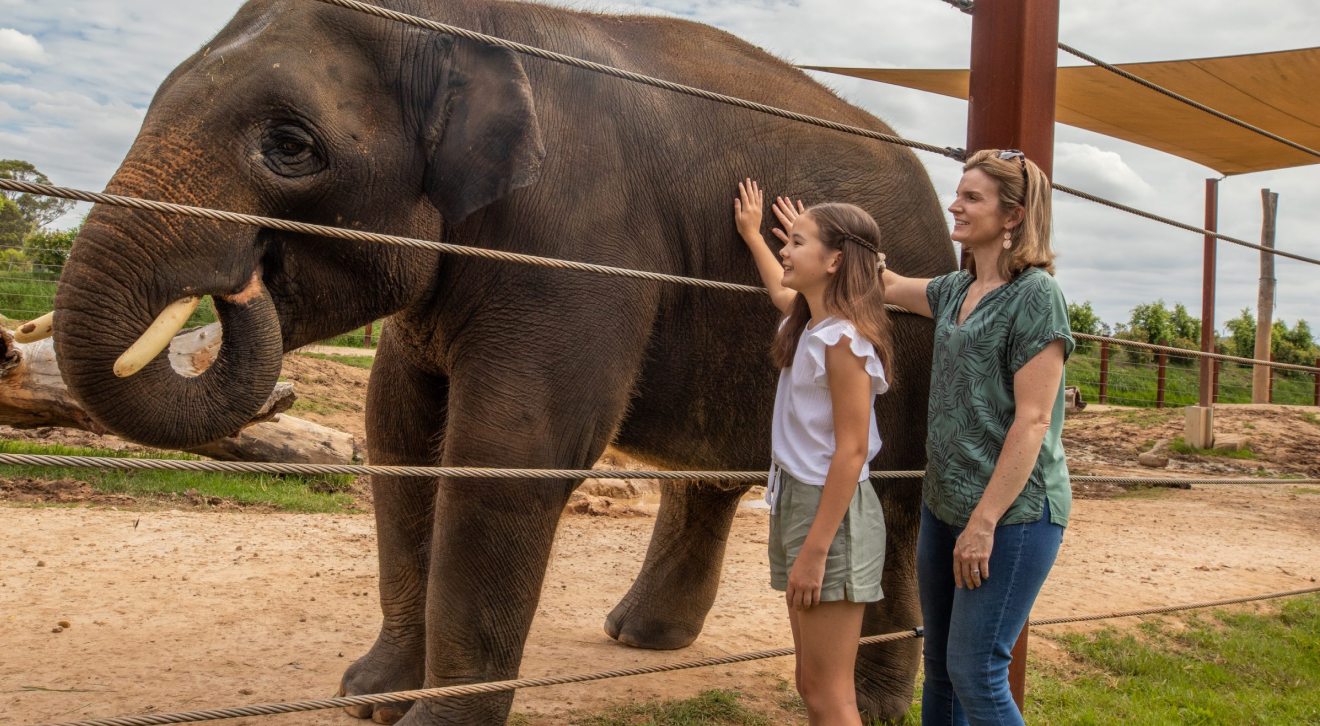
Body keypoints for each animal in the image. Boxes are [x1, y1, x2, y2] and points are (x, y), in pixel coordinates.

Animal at [51, 1, 960, 723]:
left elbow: (509, 451)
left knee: (894, 493)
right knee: (705, 482)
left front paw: (423, 720)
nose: (242, 277)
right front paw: (369, 700)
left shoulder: (578, 237)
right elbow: (399, 433)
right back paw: (636, 638)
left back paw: (878, 704)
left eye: (290, 145)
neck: (467, 21)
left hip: (906, 332)